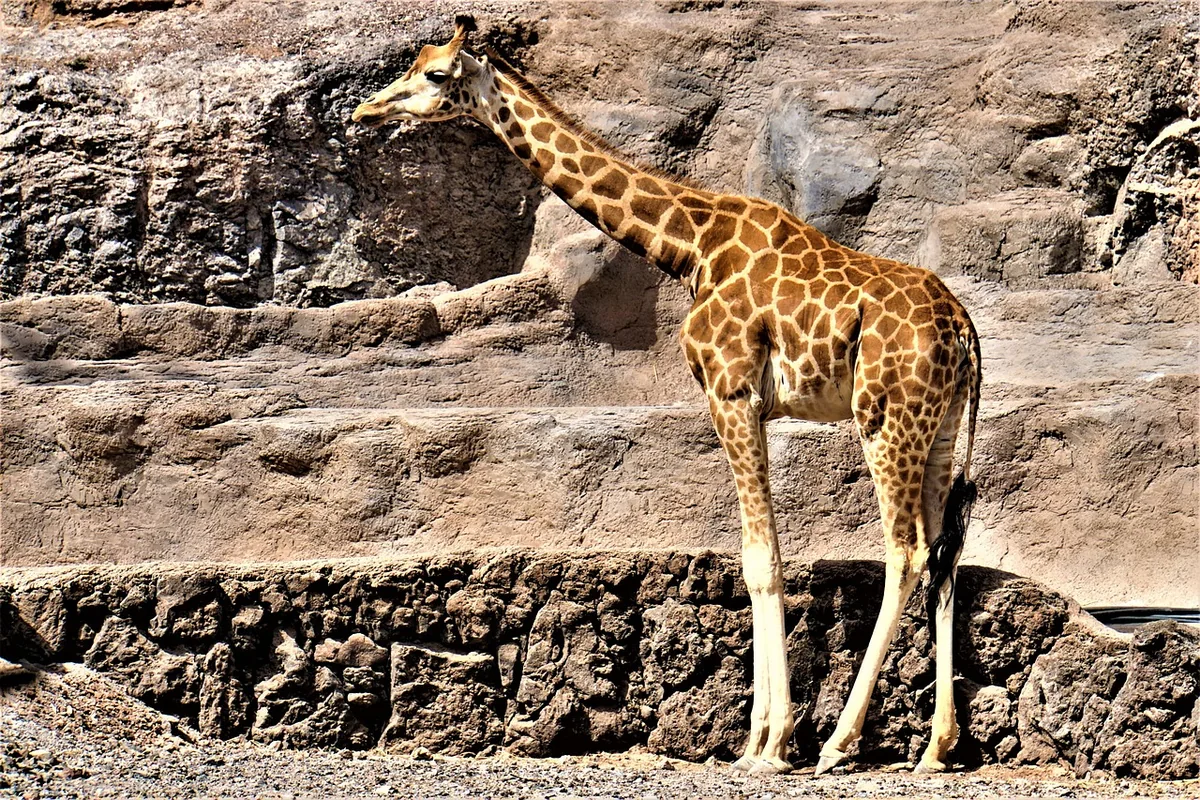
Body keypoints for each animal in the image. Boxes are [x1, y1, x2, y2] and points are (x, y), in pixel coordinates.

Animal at [353, 17, 982, 776]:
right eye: (414, 63)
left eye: (437, 74)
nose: (364, 112)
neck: (688, 246)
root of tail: (965, 331)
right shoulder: (750, 403)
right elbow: (760, 556)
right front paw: (759, 738)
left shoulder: (731, 390)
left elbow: (762, 561)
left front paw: (768, 744)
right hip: (938, 427)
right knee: (945, 554)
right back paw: (937, 747)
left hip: (886, 418)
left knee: (907, 552)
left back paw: (838, 743)